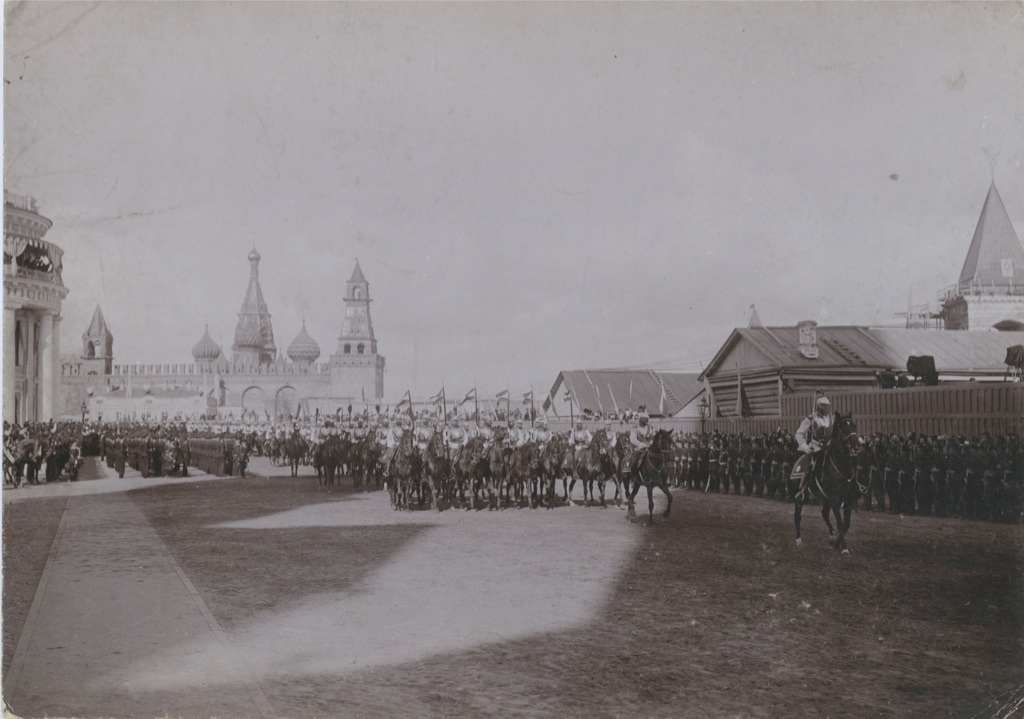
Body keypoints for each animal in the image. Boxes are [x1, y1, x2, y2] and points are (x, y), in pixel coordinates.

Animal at [790, 411, 864, 557]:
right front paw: (844, 548)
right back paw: (799, 540)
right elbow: (841, 524)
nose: (856, 447)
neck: (841, 468)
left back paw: (831, 536)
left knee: (824, 513)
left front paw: (836, 544)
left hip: (825, 499)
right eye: (843, 428)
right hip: (801, 496)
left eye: (853, 425)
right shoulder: (835, 501)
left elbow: (846, 524)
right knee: (798, 515)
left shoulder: (848, 500)